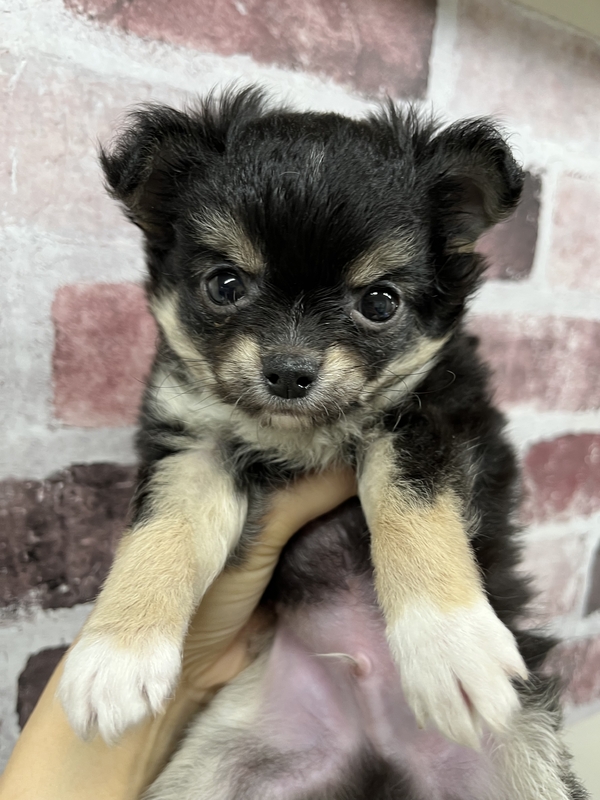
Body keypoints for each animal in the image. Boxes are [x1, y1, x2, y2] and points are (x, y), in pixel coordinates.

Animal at [57, 88, 586, 797]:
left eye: (380, 303)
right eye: (225, 285)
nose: (288, 371)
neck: (300, 434)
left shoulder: (430, 417)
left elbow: (411, 509)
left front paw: (450, 647)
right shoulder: (193, 443)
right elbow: (162, 534)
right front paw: (114, 654)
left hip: (528, 761)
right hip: (214, 762)